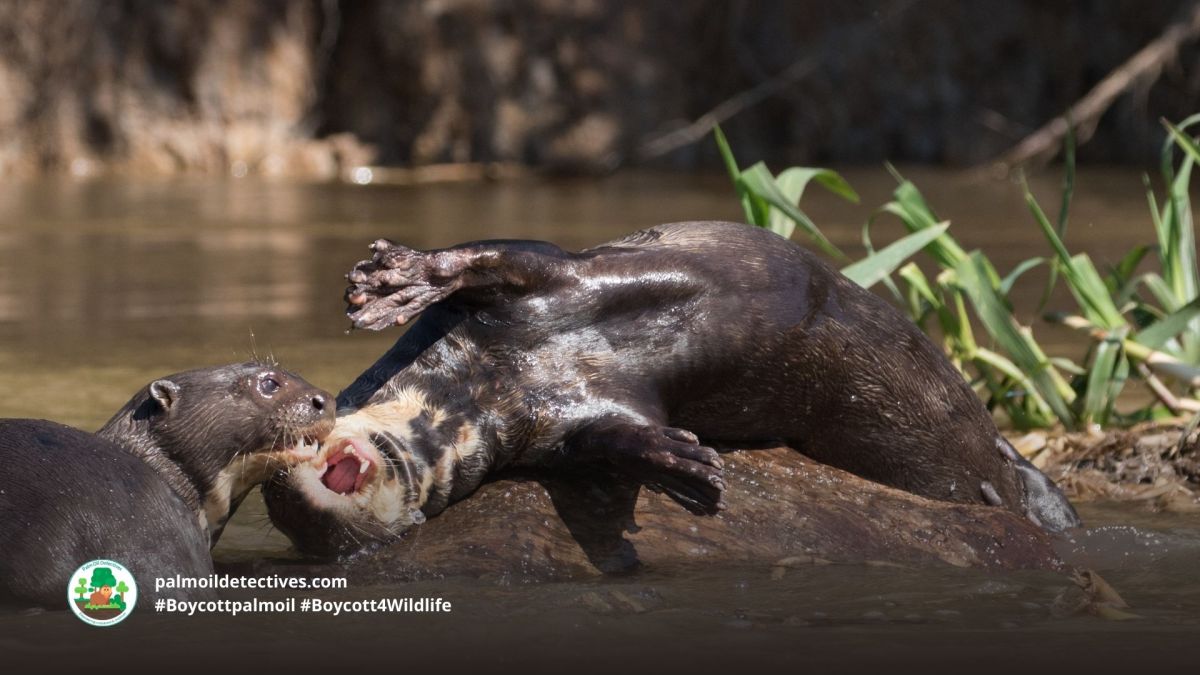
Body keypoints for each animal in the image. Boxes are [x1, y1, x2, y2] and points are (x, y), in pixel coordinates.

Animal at [265, 221, 1080, 558]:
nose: (298, 501)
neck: (484, 384)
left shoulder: (552, 276)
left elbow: (493, 254)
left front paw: (394, 279)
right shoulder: (556, 428)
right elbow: (607, 437)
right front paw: (678, 461)